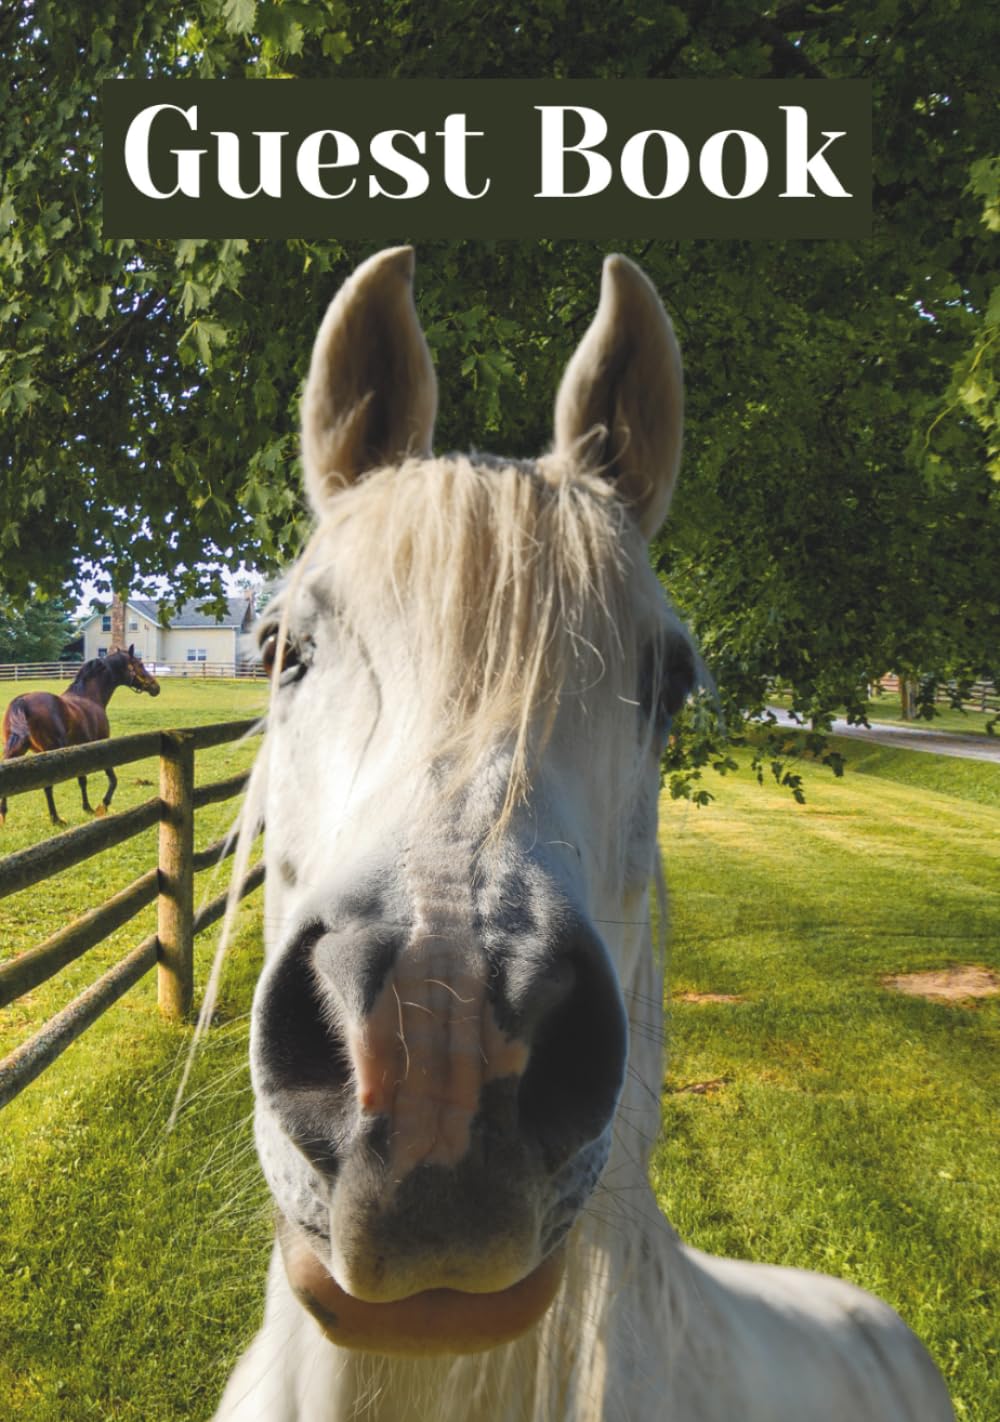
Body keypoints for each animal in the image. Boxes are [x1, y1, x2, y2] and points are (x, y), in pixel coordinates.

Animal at [0, 645, 160, 826]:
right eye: (140, 664)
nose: (156, 687)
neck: (89, 697)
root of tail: (22, 701)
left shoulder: (80, 751)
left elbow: (82, 780)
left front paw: (87, 807)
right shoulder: (102, 747)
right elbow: (112, 779)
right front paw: (102, 806)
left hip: (17, 749)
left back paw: (3, 815)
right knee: (48, 786)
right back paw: (56, 819)